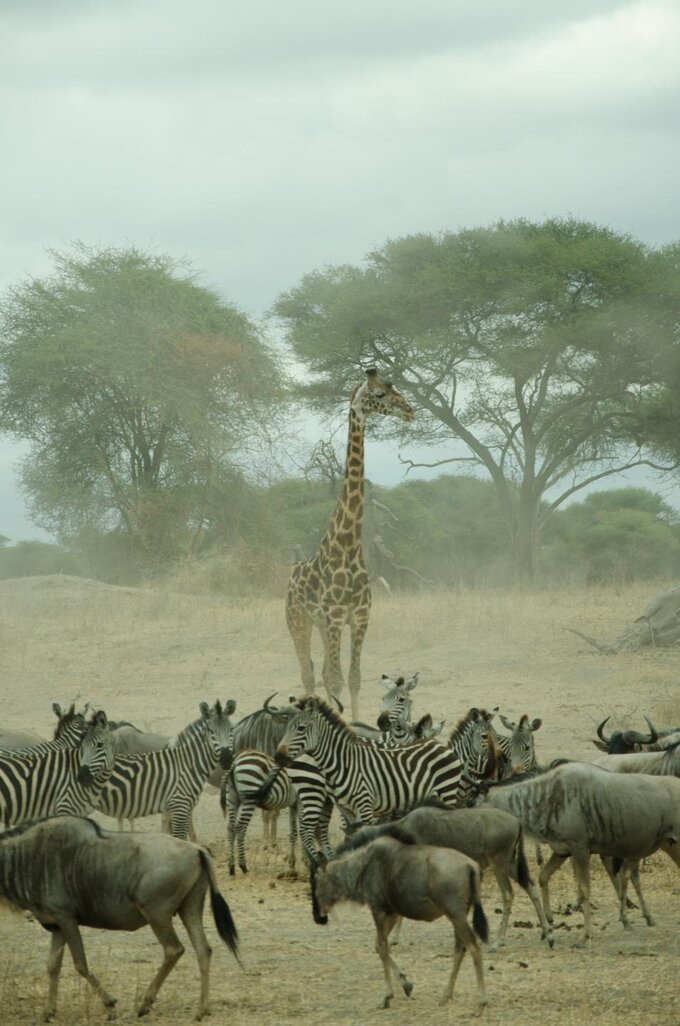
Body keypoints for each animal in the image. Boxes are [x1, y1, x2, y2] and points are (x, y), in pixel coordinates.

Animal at [219, 746, 334, 874]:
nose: (325, 861)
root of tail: (236, 759)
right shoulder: (301, 802)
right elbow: (304, 831)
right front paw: (306, 861)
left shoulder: (293, 805)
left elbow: (294, 832)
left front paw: (292, 863)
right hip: (249, 797)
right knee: (240, 828)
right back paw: (243, 866)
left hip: (232, 798)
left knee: (231, 828)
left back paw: (231, 867)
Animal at [268, 689, 465, 824]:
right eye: (286, 728)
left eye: (301, 728)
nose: (278, 756)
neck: (342, 763)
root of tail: (439, 744)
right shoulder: (347, 810)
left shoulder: (365, 807)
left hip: (446, 792)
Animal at [285, 369, 414, 722]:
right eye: (379, 394)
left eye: (396, 388)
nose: (410, 410)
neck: (347, 545)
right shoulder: (333, 617)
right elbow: (336, 680)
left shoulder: (359, 617)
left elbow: (353, 679)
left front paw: (356, 725)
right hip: (298, 621)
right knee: (309, 675)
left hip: (321, 624)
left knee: (320, 672)